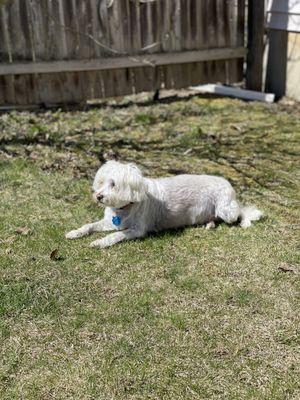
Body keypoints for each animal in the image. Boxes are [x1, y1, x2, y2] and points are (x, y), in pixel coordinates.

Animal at [65, 159, 262, 247]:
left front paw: (100, 242)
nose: (98, 196)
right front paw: (75, 232)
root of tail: (228, 182)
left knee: (241, 211)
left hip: (226, 209)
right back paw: (210, 224)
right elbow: (89, 225)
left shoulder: (137, 230)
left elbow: (116, 235)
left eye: (113, 184)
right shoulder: (109, 221)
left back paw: (244, 221)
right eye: (101, 182)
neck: (125, 207)